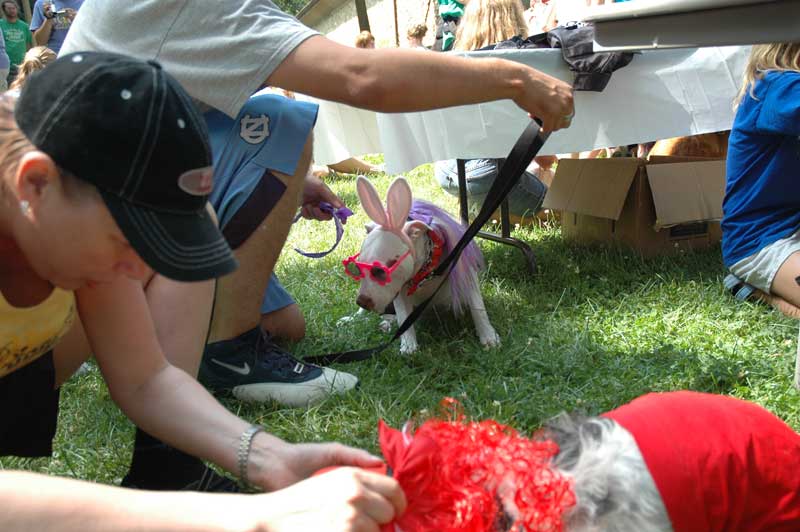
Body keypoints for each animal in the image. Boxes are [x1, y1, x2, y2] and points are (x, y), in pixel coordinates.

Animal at [344, 177, 500, 356]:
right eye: (358, 269)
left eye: (380, 271)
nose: (362, 301)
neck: (425, 270)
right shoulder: (399, 292)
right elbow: (404, 317)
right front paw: (408, 345)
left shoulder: (466, 275)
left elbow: (478, 308)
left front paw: (488, 335)